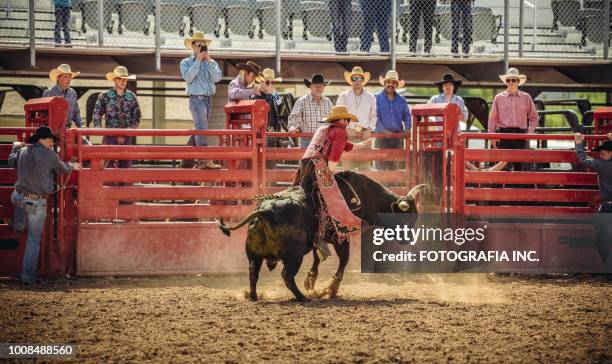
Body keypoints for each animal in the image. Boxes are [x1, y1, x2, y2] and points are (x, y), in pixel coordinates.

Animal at [219, 171, 426, 302]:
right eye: (408, 216)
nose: (409, 239)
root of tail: (264, 211)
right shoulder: (340, 236)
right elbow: (343, 259)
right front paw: (331, 288)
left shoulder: (319, 239)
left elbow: (317, 257)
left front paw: (312, 279)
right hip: (294, 255)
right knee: (287, 275)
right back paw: (302, 298)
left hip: (254, 255)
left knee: (253, 273)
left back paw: (254, 296)